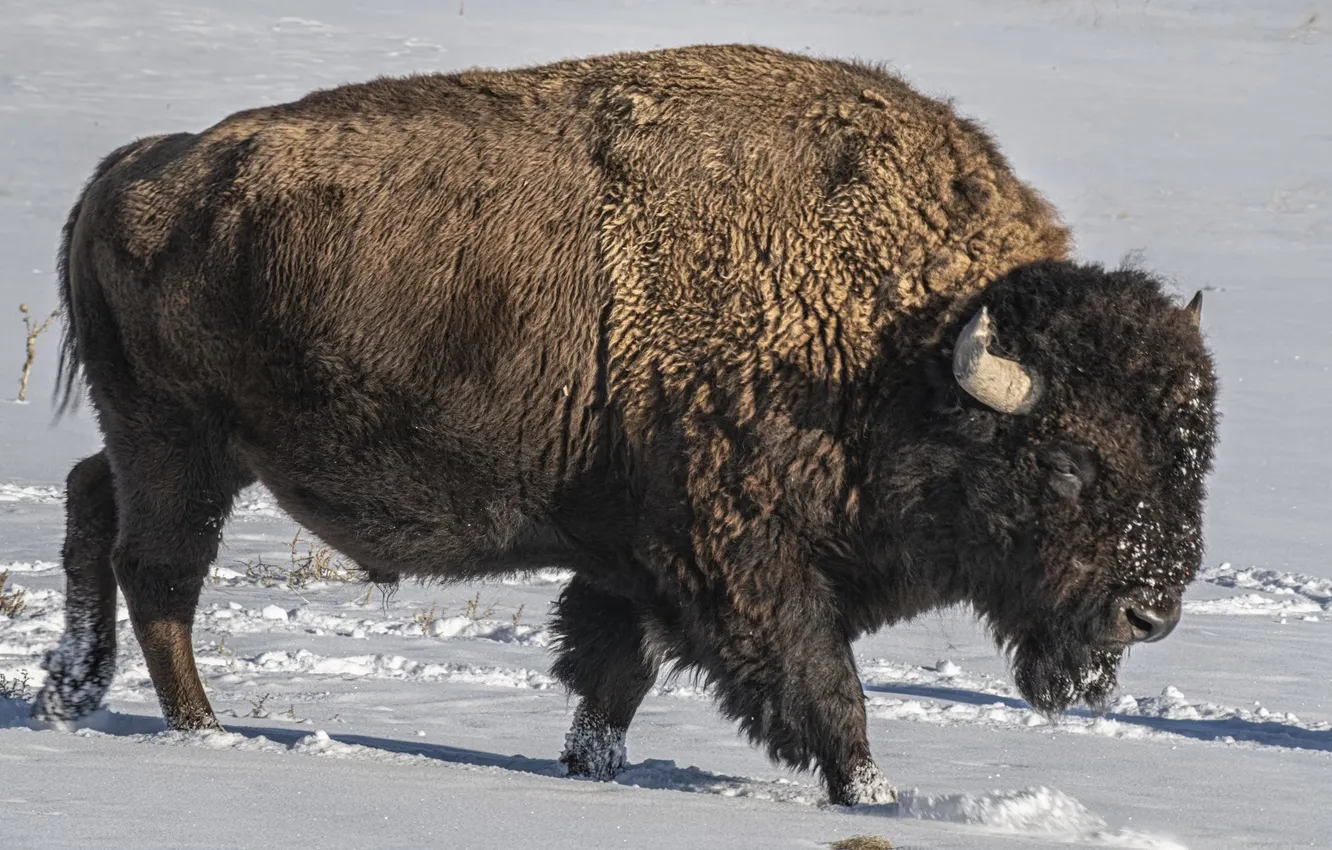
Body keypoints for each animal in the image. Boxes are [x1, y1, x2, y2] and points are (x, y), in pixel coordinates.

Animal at [34, 44, 1218, 805]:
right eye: (1069, 464)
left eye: (1191, 457)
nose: (1151, 611)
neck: (901, 347)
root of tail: (129, 169)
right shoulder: (745, 568)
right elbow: (824, 692)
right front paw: (875, 797)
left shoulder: (633, 562)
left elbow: (613, 677)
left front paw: (589, 773)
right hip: (182, 447)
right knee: (159, 572)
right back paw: (203, 731)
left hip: (167, 443)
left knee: (92, 505)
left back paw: (68, 696)